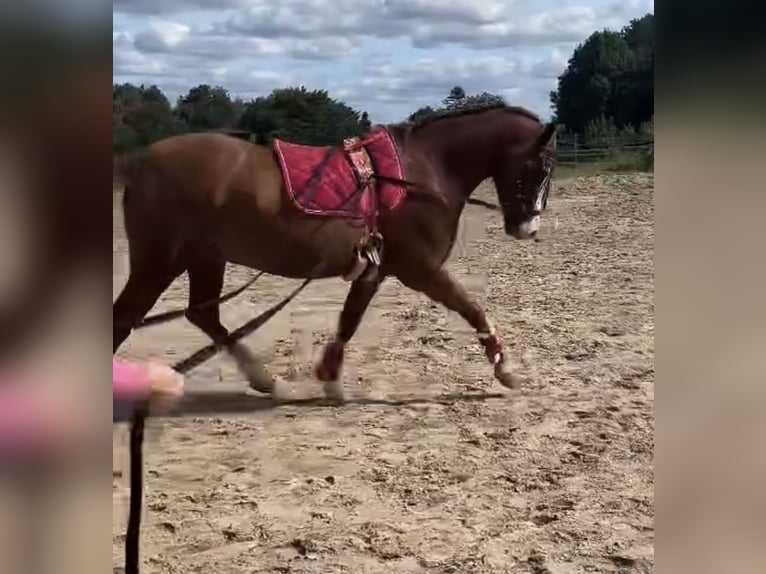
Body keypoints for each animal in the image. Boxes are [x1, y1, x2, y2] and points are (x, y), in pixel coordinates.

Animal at [113, 103, 557, 401]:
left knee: (202, 314)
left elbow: (349, 320)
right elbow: (471, 307)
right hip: (160, 262)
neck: (420, 172)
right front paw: (505, 369)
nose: (528, 228)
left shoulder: (376, 268)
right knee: (126, 319)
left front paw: (330, 378)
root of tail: (141, 163)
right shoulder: (421, 269)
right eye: (538, 168)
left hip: (205, 257)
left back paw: (265, 380)